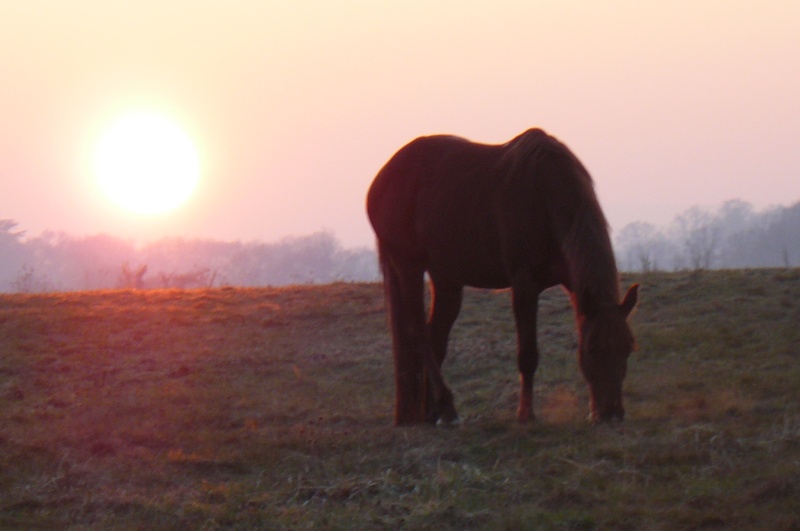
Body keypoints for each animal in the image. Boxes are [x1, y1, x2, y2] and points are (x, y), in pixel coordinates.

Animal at [368, 129, 636, 428]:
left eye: (628, 348)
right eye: (592, 349)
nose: (612, 413)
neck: (545, 194)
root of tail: (383, 178)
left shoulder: (572, 281)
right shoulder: (524, 285)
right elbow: (527, 355)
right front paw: (525, 414)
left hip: (446, 276)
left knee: (436, 335)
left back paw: (433, 412)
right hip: (408, 265)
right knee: (419, 332)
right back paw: (447, 409)